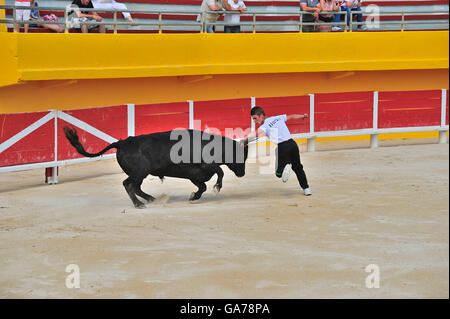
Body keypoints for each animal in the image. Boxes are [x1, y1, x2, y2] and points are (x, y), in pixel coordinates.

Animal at [62, 127, 250, 210]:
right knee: (128, 184)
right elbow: (220, 171)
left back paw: (151, 199)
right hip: (139, 172)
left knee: (135, 186)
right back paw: (139, 204)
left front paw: (193, 196)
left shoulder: (195, 175)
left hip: (141, 174)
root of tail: (122, 143)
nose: (242, 174)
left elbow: (203, 186)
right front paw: (217, 188)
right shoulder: (205, 167)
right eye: (241, 156)